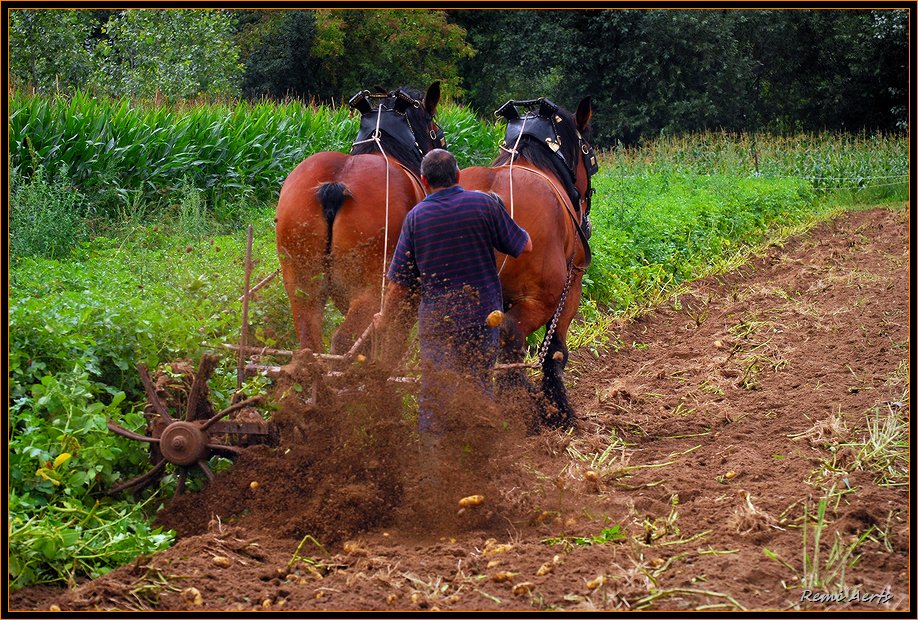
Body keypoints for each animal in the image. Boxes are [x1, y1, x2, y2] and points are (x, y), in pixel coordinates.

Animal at [274, 82, 444, 354]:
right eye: (437, 133)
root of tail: (335, 185)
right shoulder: (408, 295)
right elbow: (393, 341)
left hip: (302, 284)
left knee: (309, 342)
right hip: (371, 289)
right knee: (344, 340)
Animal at [464, 98, 600, 432]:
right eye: (589, 155)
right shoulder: (571, 287)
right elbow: (555, 353)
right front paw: (559, 410)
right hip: (541, 297)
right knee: (512, 337)